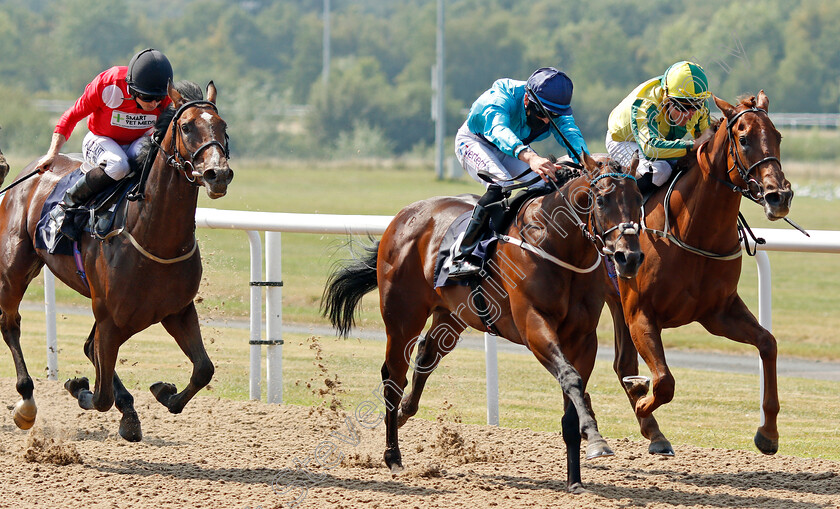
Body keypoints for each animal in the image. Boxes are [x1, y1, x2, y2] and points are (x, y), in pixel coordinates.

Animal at [0, 79, 233, 440]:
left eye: (223, 127)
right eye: (186, 126)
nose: (217, 174)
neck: (154, 236)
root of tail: (30, 172)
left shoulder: (176, 310)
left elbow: (203, 369)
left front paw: (164, 392)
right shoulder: (111, 316)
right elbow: (100, 395)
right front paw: (78, 386)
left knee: (89, 347)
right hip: (15, 268)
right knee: (10, 324)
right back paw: (26, 402)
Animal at [322, 152, 644, 492]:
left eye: (639, 199)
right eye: (602, 200)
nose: (628, 257)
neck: (558, 245)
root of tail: (403, 216)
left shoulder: (583, 338)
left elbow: (573, 393)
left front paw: (576, 478)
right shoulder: (533, 326)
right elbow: (570, 378)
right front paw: (595, 439)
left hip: (451, 315)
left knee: (426, 356)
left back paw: (402, 414)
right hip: (402, 317)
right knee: (393, 377)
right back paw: (393, 456)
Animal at [608, 91, 792, 456]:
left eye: (777, 136)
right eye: (744, 139)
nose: (780, 195)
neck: (693, 232)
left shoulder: (718, 312)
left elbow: (768, 343)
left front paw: (768, 432)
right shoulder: (641, 312)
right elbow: (664, 382)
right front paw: (642, 400)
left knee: (623, 364)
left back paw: (652, 429)